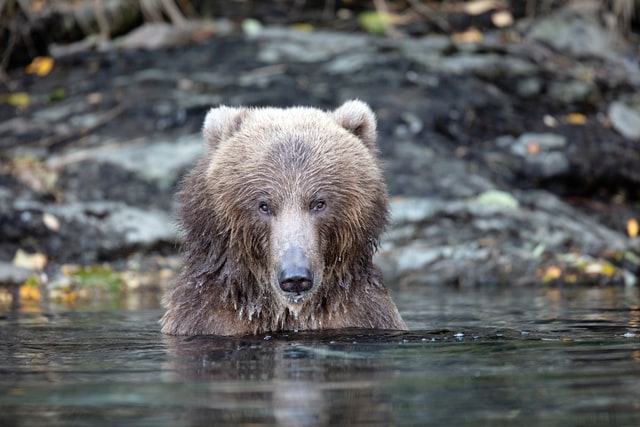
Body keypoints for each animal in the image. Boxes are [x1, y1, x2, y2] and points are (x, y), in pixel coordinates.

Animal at [162, 100, 408, 338]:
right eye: (264, 205)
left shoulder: (360, 314)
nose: (296, 276)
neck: (287, 312)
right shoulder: (210, 317)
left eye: (319, 203)